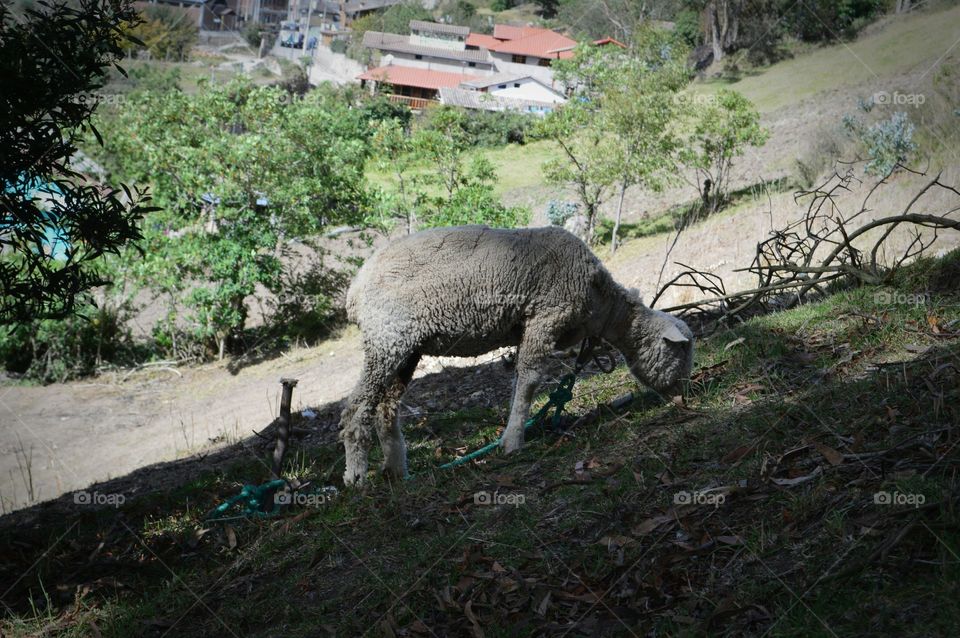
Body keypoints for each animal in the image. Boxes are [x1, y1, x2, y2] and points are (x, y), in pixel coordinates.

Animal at [339, 225, 694, 485]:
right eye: (680, 354)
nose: (684, 399)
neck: (603, 306)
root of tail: (354, 292)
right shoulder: (545, 317)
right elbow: (529, 381)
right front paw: (513, 441)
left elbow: (521, 382)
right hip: (387, 338)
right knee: (357, 406)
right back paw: (356, 475)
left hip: (404, 348)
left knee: (387, 407)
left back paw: (397, 470)